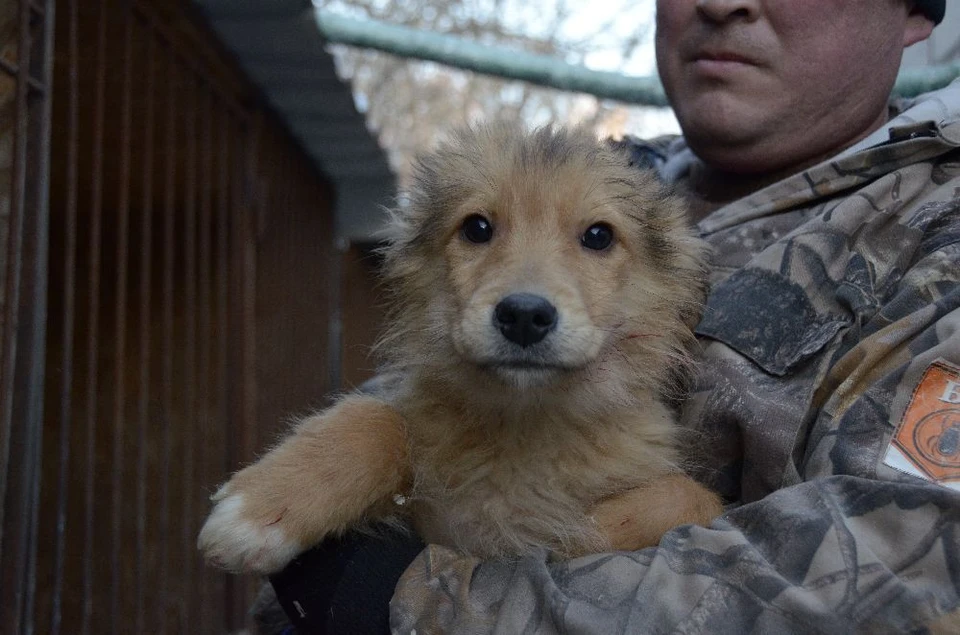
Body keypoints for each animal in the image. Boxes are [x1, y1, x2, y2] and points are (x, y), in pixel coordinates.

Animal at [197, 121, 720, 572]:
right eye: (476, 228)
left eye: (598, 236)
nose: (524, 316)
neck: (523, 424)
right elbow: (377, 417)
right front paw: (261, 507)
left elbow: (689, 497)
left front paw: (569, 533)